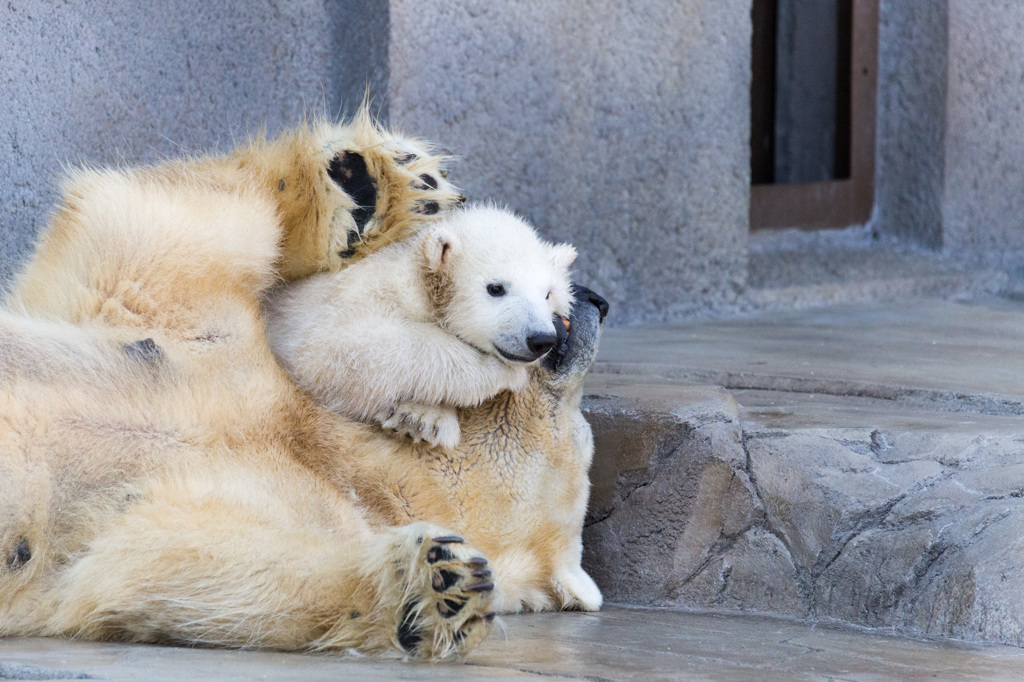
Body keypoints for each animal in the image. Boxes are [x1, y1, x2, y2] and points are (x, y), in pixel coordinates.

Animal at [264, 204, 577, 448]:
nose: (540, 339)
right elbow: (341, 351)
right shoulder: (351, 297)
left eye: (547, 294)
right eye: (496, 288)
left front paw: (421, 419)